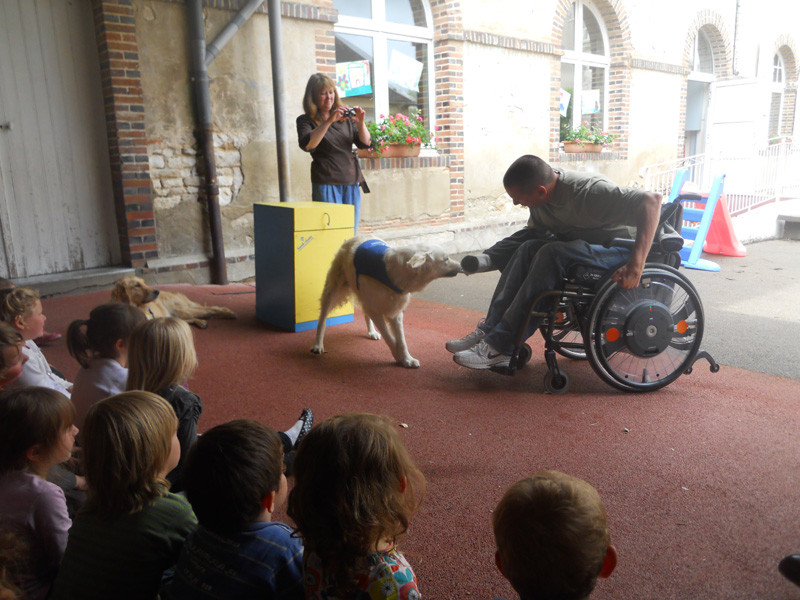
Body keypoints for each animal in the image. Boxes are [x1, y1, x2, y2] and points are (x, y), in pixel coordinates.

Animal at [312, 234, 462, 366]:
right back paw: (318, 344)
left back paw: (372, 332)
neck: (393, 273)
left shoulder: (395, 311)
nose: (462, 265)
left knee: (365, 314)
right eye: (446, 259)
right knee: (322, 319)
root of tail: (355, 237)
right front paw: (398, 356)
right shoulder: (377, 311)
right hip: (332, 290)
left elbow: (401, 341)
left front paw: (407, 359)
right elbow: (390, 338)